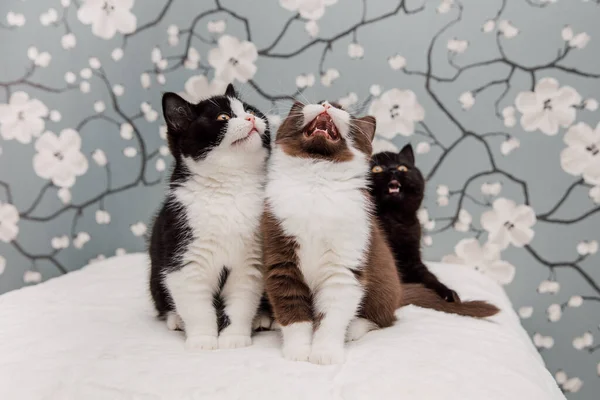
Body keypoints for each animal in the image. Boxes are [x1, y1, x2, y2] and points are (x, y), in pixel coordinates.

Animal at [149, 84, 270, 350]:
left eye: (250, 110)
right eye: (223, 117)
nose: (250, 119)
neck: (228, 189)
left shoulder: (250, 260)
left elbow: (242, 301)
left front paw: (234, 338)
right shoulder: (183, 252)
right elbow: (196, 307)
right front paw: (203, 340)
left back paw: (262, 318)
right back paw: (175, 318)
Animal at [370, 145, 460, 302]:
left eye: (402, 167)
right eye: (377, 169)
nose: (393, 170)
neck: (392, 219)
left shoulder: (412, 259)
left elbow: (429, 277)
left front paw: (448, 293)